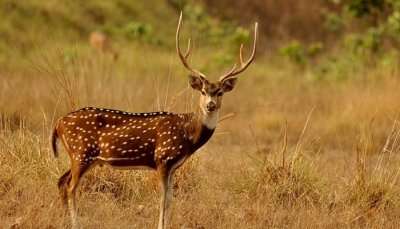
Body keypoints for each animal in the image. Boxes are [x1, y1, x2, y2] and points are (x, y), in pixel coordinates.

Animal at [51, 13, 258, 229]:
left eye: (219, 92)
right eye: (202, 91)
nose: (210, 105)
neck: (188, 135)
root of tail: (58, 123)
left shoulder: (174, 166)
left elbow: (170, 199)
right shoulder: (163, 158)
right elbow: (162, 199)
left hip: (83, 157)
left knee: (61, 181)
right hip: (81, 152)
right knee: (70, 187)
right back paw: (76, 223)